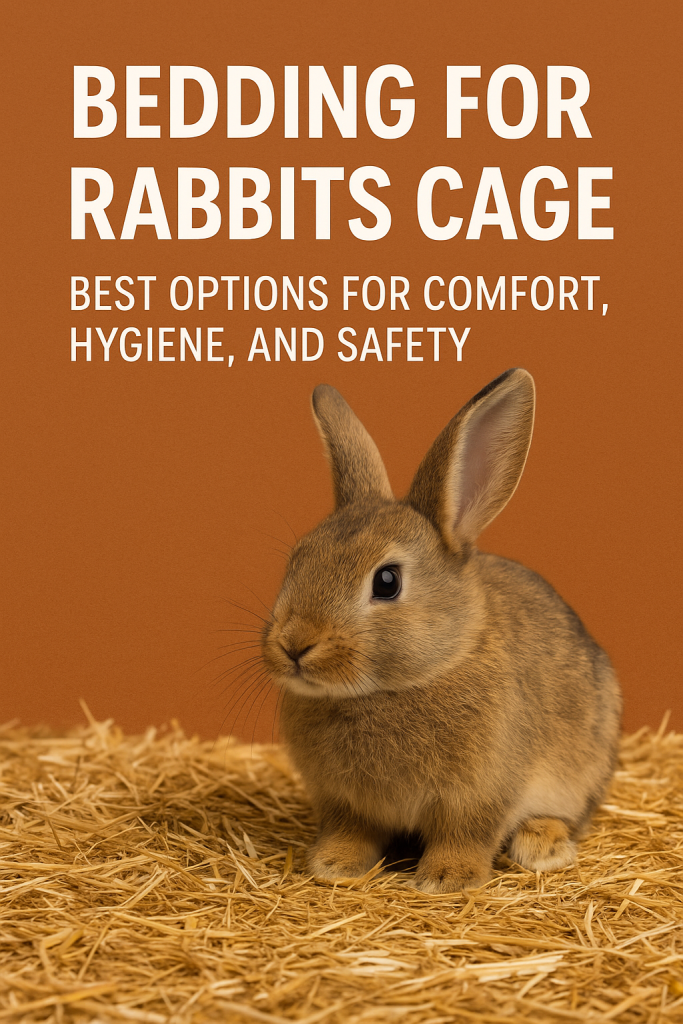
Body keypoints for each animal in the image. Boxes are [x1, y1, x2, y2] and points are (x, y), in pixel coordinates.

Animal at [261, 369, 622, 893]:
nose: (294, 644)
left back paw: (543, 848)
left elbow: (466, 836)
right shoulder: (345, 803)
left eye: (387, 582)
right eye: (298, 559)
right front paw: (334, 865)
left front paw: (447, 879)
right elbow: (351, 832)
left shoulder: (480, 794)